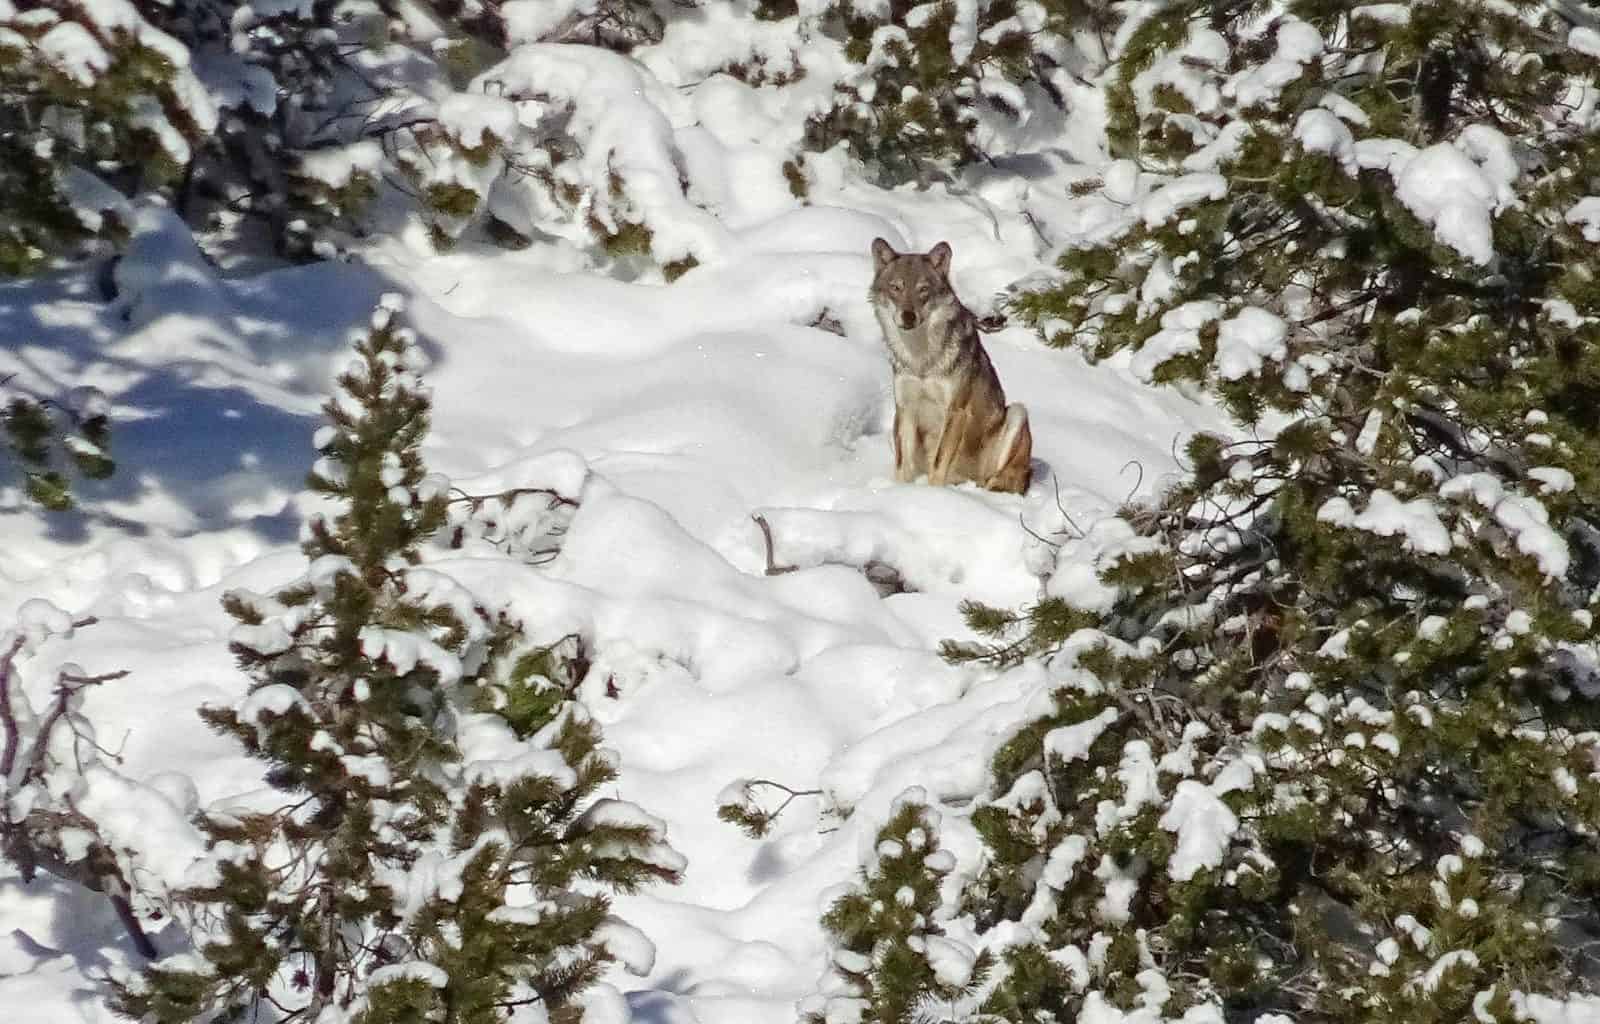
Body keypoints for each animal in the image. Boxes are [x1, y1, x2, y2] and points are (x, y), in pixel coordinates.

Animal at [869, 238, 1032, 494]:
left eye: (923, 289)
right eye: (896, 288)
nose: (908, 316)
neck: (921, 360)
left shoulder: (955, 411)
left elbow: (938, 463)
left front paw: (934, 495)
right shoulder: (905, 408)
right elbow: (902, 465)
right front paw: (900, 492)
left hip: (1017, 413)